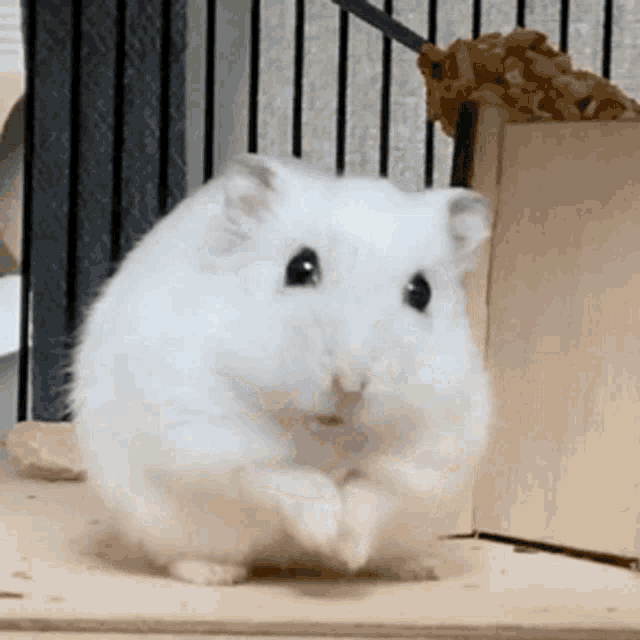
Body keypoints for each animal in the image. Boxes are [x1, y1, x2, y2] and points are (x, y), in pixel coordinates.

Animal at [69, 153, 493, 586]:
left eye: (421, 292)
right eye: (299, 268)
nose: (351, 384)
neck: (325, 434)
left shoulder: (428, 456)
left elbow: (370, 495)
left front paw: (344, 550)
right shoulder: (213, 440)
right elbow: (284, 478)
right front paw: (325, 532)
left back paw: (417, 569)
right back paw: (217, 574)